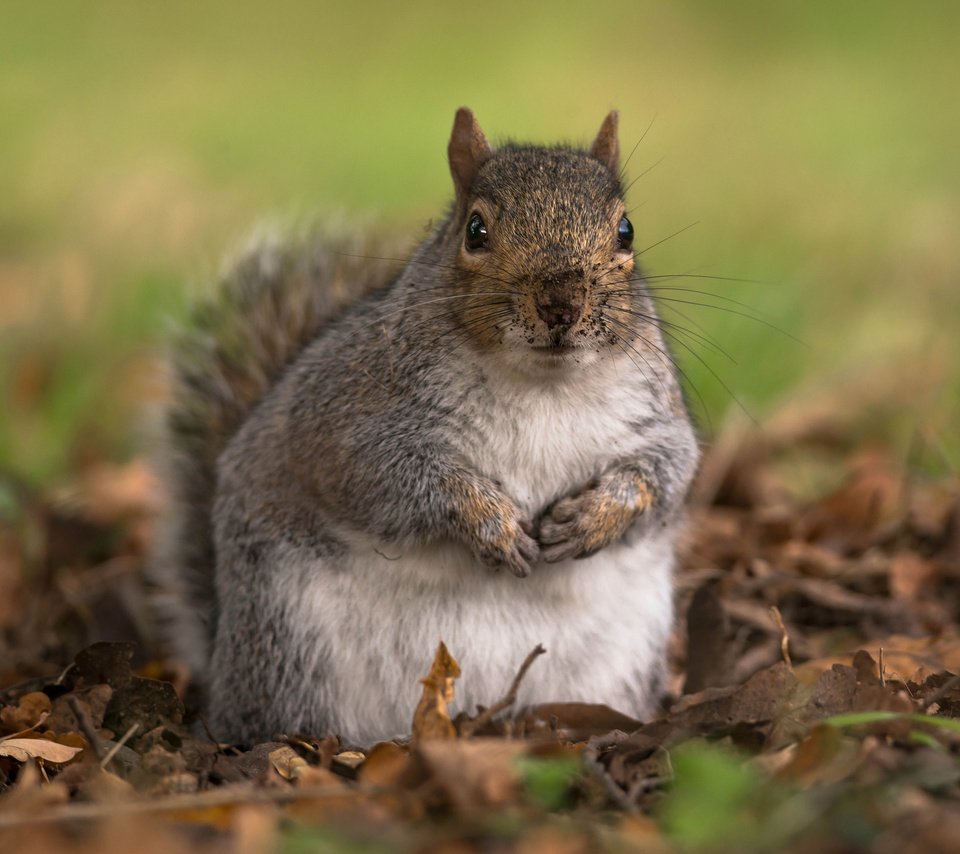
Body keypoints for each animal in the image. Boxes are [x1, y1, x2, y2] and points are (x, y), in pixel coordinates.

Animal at [152, 108, 704, 748]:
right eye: (475, 231)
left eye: (626, 231)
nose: (560, 304)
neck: (544, 385)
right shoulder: (343, 418)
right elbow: (386, 476)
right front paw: (489, 522)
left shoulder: (656, 419)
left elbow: (668, 473)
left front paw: (596, 516)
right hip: (287, 642)